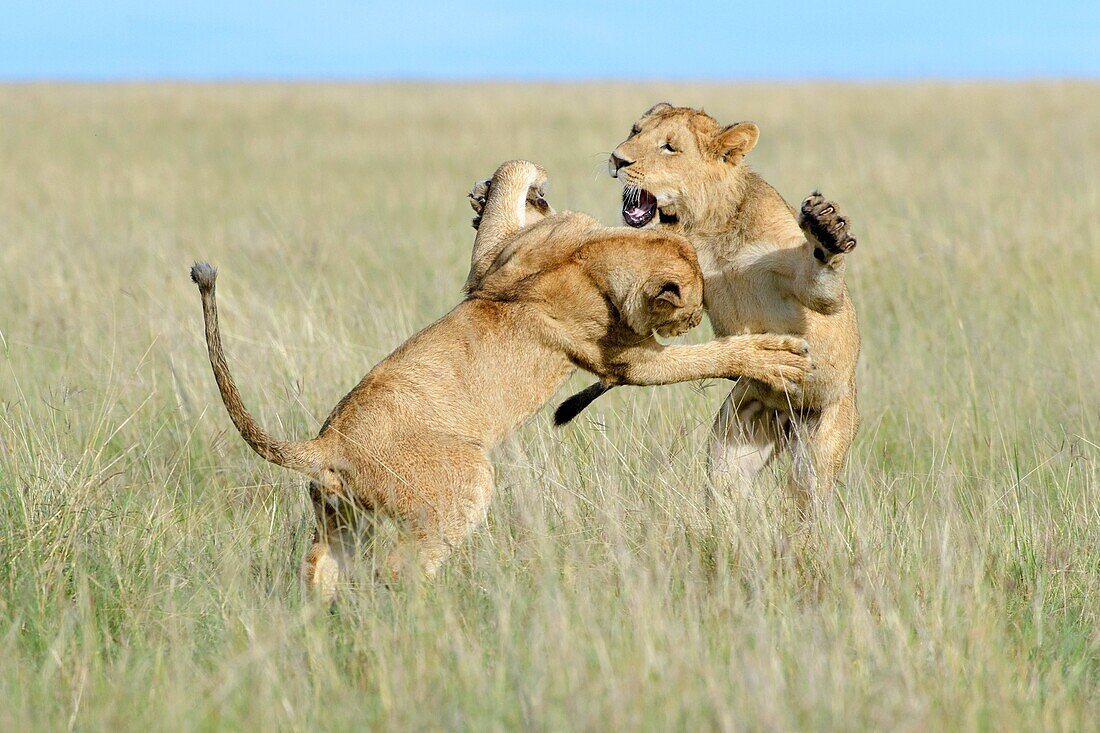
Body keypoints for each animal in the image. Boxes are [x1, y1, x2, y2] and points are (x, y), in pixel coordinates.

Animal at [189, 158, 814, 594]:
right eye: (688, 314)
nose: (689, 320)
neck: (596, 252)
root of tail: (324, 444)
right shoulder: (626, 361)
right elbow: (706, 357)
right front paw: (777, 356)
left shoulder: (490, 264)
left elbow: (511, 179)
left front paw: (518, 189)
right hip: (465, 482)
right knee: (397, 570)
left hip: (341, 517)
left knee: (320, 566)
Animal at [563, 102, 862, 506]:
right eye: (635, 131)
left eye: (669, 148)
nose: (617, 159)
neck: (709, 230)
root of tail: (788, 414)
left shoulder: (810, 289)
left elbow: (823, 289)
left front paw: (826, 231)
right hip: (737, 437)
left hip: (819, 448)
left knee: (806, 500)